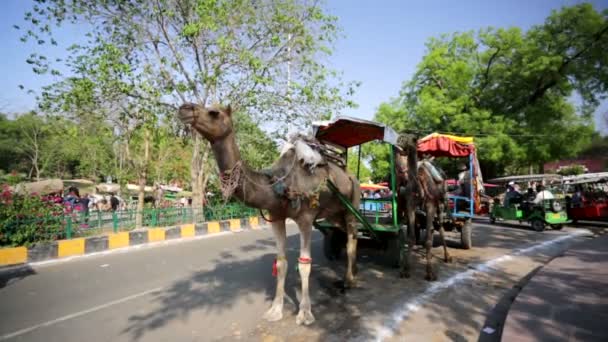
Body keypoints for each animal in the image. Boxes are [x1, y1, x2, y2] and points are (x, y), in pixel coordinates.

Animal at [176, 103, 358, 324]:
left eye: (214, 113)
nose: (184, 109)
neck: (278, 184)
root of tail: (350, 175)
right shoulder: (276, 217)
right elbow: (280, 263)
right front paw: (275, 310)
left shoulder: (306, 218)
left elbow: (304, 264)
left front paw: (305, 313)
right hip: (335, 214)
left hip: (353, 204)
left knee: (352, 240)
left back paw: (349, 280)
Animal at [394, 134, 452, 280]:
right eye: (401, 137)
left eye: (413, 139)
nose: (399, 143)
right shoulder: (410, 205)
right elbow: (411, 237)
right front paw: (406, 270)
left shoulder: (430, 205)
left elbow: (428, 241)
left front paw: (430, 273)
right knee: (431, 229)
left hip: (440, 204)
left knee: (440, 227)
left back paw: (447, 256)